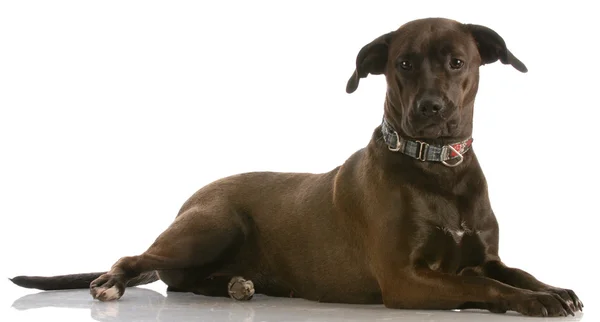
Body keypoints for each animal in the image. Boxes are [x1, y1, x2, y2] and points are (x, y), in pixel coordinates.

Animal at [9, 17, 580, 316]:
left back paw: (240, 286)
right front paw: (534, 302)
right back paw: (111, 283)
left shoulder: (485, 256)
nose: (430, 108)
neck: (439, 170)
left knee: (181, 283)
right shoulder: (405, 281)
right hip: (213, 225)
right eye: (403, 63)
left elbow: (516, 271)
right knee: (140, 259)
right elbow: (484, 288)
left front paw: (553, 289)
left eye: (457, 61)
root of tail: (192, 197)